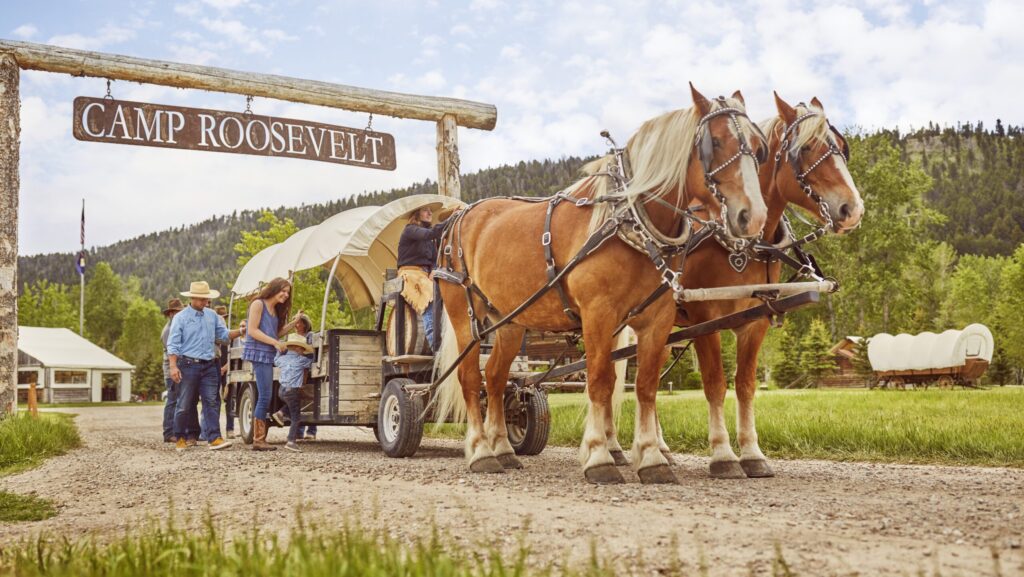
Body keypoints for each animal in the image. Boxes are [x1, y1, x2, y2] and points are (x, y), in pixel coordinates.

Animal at [433, 84, 768, 485]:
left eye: (759, 147)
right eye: (714, 142)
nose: (753, 217)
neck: (629, 223)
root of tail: (459, 214)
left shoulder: (656, 319)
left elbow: (645, 385)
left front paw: (651, 457)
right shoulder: (597, 314)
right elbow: (599, 381)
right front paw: (599, 456)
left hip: (510, 322)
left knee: (496, 378)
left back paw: (502, 448)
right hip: (463, 314)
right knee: (471, 377)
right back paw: (481, 451)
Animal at [615, 93, 864, 479]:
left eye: (841, 146)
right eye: (806, 148)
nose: (853, 209)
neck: (744, 244)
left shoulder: (756, 318)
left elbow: (746, 386)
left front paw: (751, 453)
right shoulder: (705, 317)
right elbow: (715, 384)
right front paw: (723, 455)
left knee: (648, 376)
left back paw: (659, 449)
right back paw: (616, 449)